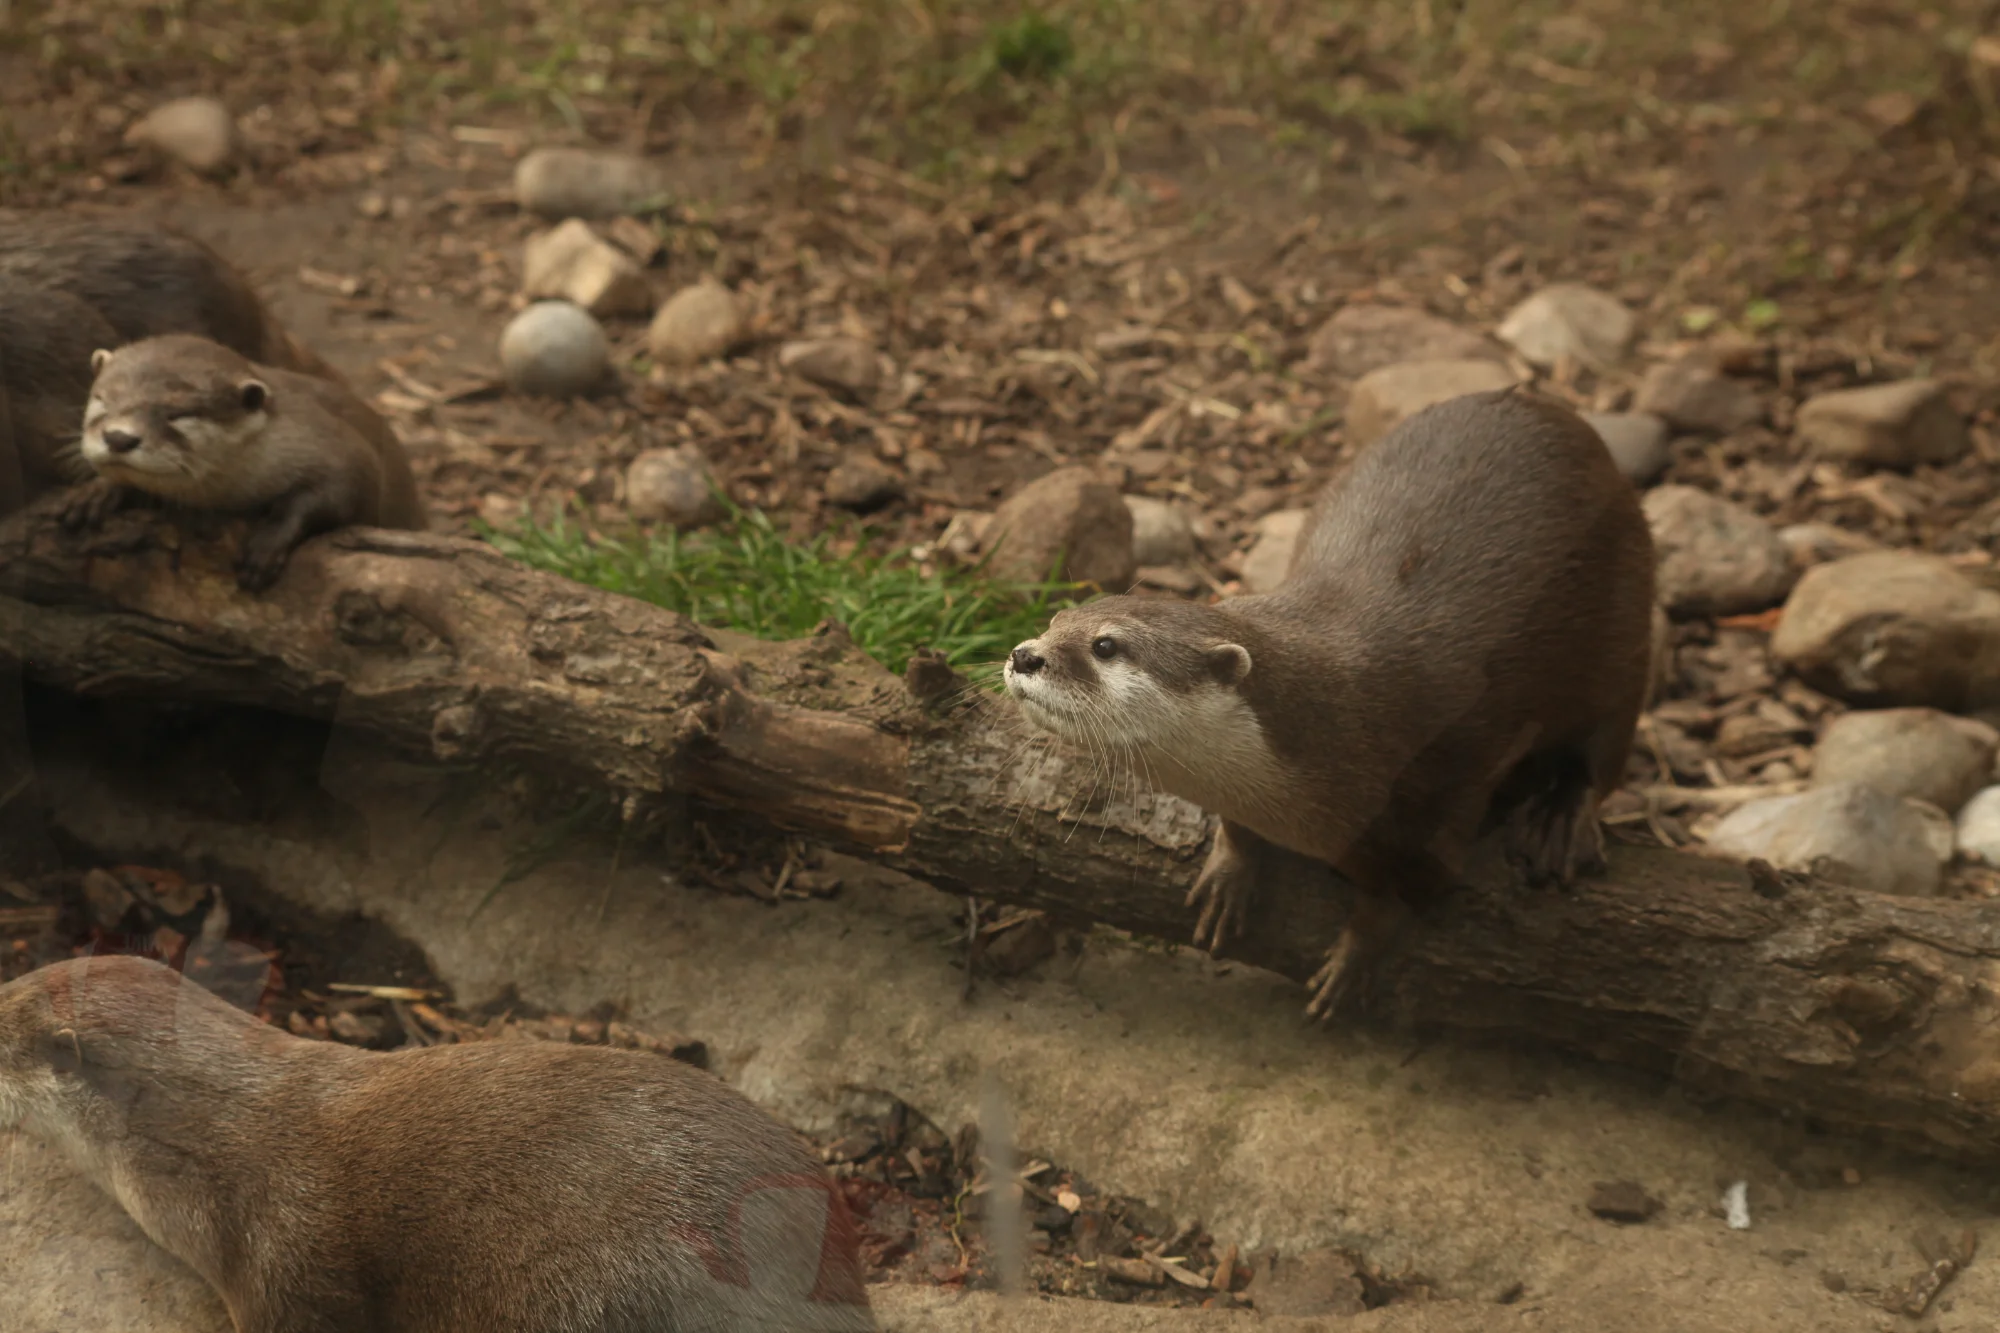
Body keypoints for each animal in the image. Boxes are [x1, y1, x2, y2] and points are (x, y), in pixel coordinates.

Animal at [65, 334, 427, 591]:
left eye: (178, 414)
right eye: (103, 399)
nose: (118, 437)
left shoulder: (337, 447)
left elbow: (337, 490)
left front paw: (267, 546)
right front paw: (95, 494)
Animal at [1004, 388, 1656, 1017]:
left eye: (1106, 645)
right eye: (1055, 620)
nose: (1022, 654)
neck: (1343, 730)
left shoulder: (1442, 791)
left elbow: (1408, 892)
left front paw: (1354, 959)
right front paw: (1229, 873)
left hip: (1622, 628)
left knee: (1605, 743)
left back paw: (1560, 822)